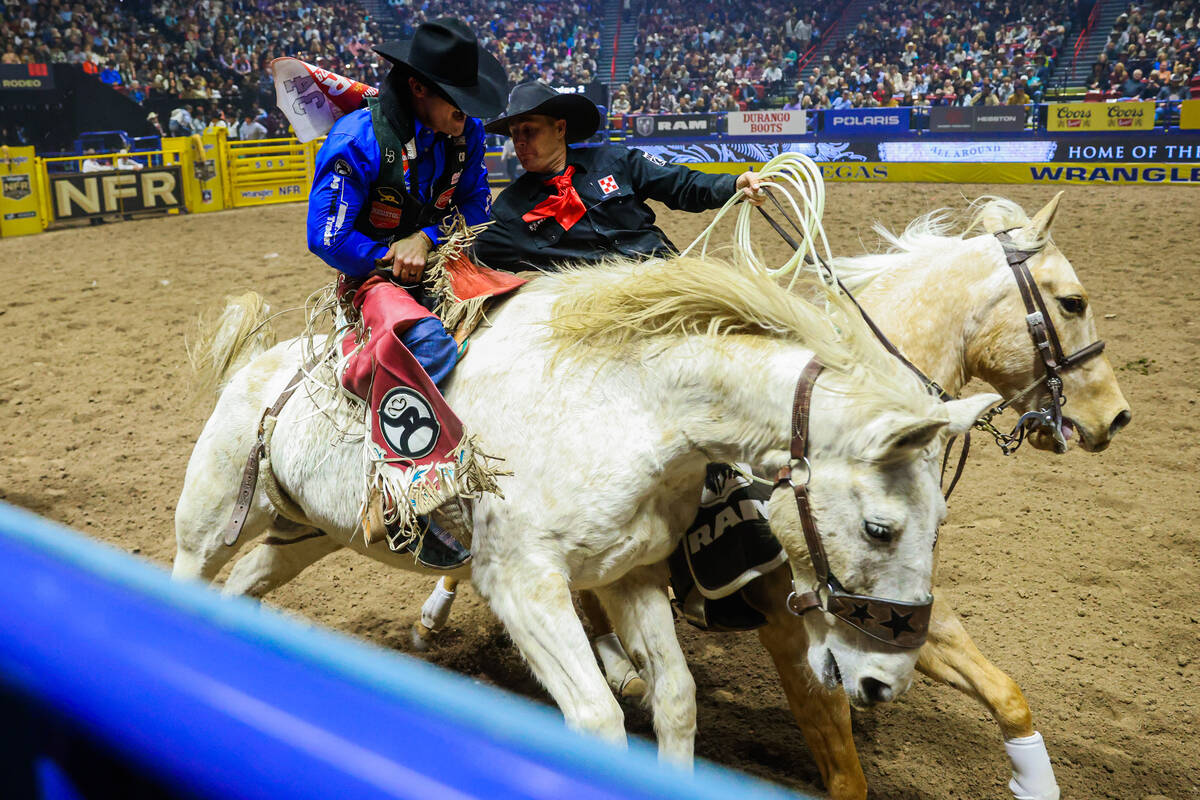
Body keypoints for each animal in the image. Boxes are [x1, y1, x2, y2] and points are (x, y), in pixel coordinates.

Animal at [171, 253, 993, 762]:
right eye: (881, 528)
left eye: (941, 526)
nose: (885, 682)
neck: (633, 408)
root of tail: (257, 364)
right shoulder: (524, 587)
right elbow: (598, 718)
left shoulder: (630, 575)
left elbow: (675, 699)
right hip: (209, 519)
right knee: (194, 572)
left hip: (306, 531)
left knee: (247, 582)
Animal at [410, 194, 1123, 800]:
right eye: (1073, 301)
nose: (1116, 418)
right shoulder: (793, 629)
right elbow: (844, 770)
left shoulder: (895, 610)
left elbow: (1004, 690)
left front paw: (1035, 783)